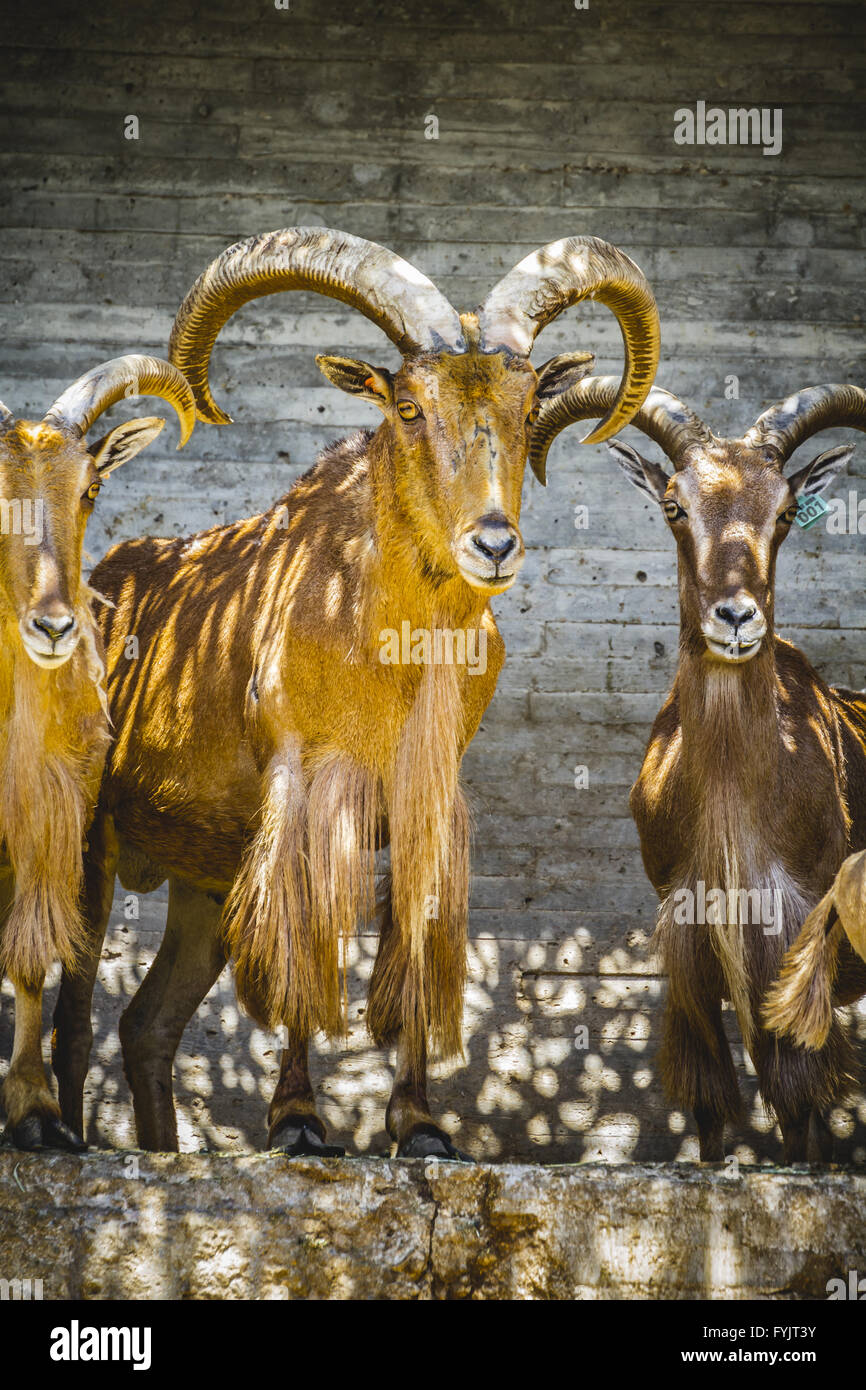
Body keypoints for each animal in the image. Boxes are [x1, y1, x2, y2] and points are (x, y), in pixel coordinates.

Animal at [52, 227, 660, 1158]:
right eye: (407, 408)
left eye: (526, 408)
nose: (493, 543)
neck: (389, 641)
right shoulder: (305, 790)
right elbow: (305, 947)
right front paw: (299, 1122)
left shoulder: (421, 801)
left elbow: (411, 940)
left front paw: (420, 1125)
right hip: (96, 840)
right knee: (77, 1014)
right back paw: (65, 1136)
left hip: (202, 882)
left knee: (148, 1025)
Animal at [532, 374, 866, 1161]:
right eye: (673, 505)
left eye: (784, 511)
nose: (736, 618)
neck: (730, 795)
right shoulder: (688, 926)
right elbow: (712, 1094)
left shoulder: (792, 930)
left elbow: (797, 1090)